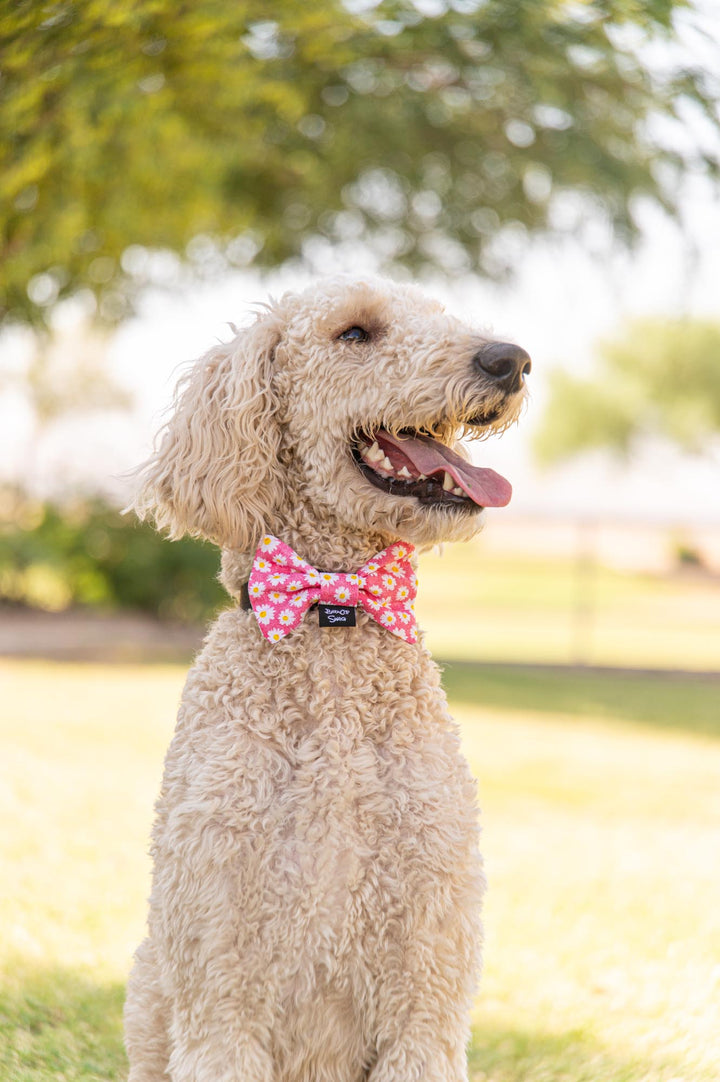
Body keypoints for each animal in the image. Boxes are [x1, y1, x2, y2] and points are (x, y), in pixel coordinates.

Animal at [125, 274, 528, 1077]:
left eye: (440, 316)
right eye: (355, 334)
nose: (511, 359)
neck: (330, 618)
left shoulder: (427, 982)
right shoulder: (221, 985)